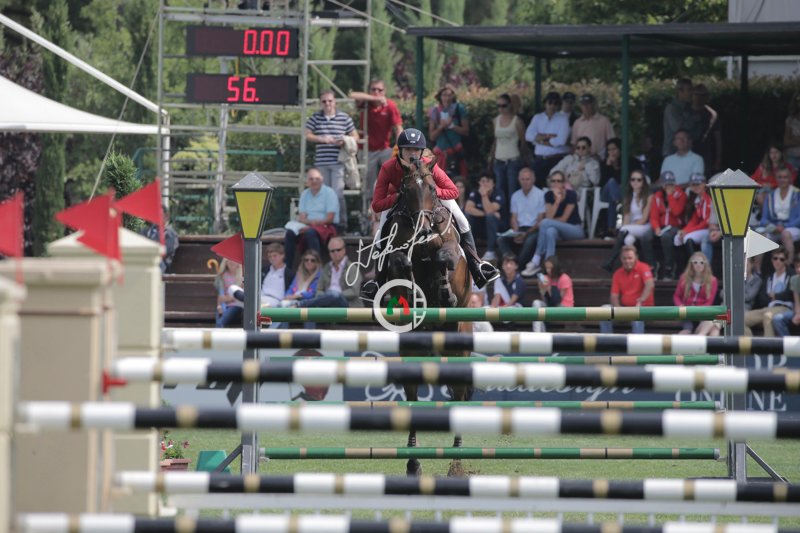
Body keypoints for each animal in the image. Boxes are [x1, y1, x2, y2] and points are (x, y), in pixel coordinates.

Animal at [381, 154, 473, 477]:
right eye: (405, 189)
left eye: (434, 189)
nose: (422, 230)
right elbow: (402, 262)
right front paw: (413, 289)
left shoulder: (450, 253)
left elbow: (445, 257)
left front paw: (445, 292)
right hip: (411, 352)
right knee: (411, 398)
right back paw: (413, 462)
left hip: (459, 345)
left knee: (459, 394)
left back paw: (457, 463)